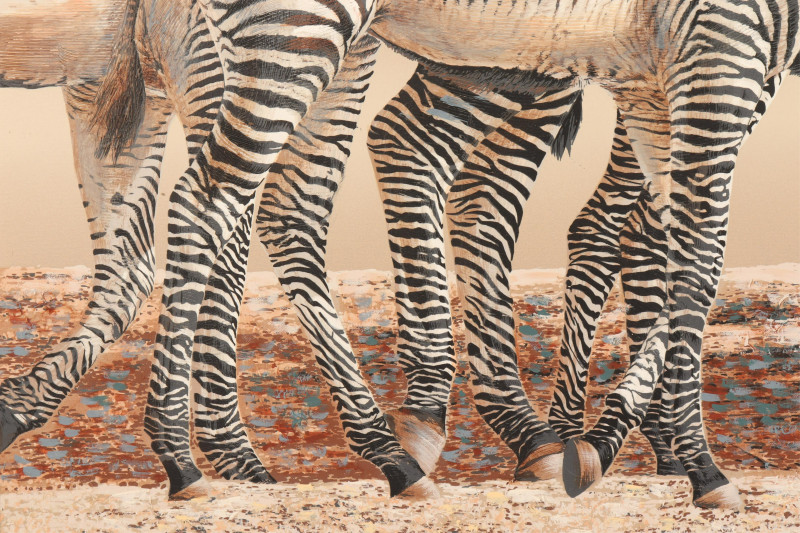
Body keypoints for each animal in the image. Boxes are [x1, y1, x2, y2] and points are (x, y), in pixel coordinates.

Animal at [136, 0, 797, 502]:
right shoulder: (721, 43)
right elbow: (698, 258)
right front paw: (697, 465)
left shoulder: (659, 73)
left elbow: (671, 248)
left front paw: (639, 444)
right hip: (308, 29)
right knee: (209, 200)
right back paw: (186, 455)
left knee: (303, 198)